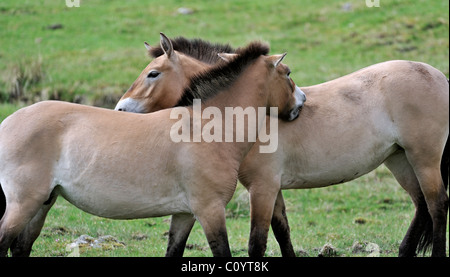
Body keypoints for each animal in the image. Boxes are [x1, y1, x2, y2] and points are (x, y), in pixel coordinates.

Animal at [0, 35, 304, 256]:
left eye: (153, 73)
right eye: (288, 73)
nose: (301, 103)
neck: (209, 126)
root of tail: (8, 122)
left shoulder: (184, 214)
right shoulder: (210, 210)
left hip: (42, 203)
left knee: (21, 247)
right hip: (23, 204)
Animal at [112, 35, 446, 256]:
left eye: (153, 73)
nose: (119, 110)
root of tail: (437, 75)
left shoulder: (263, 187)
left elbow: (257, 242)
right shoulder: (272, 188)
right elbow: (282, 233)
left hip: (424, 159)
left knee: (437, 205)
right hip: (399, 159)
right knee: (421, 207)